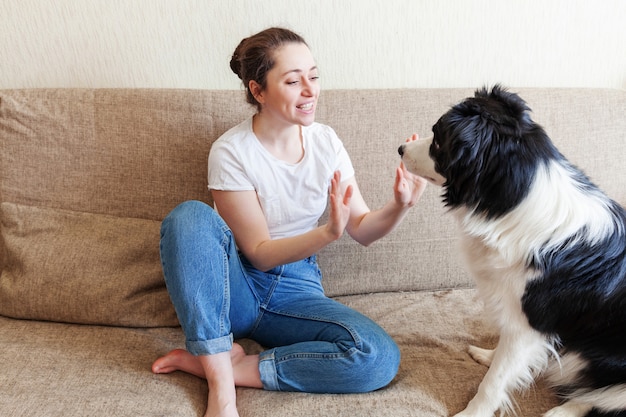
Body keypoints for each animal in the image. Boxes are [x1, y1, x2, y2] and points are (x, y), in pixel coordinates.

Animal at [400, 85, 624, 416]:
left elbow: (494, 382)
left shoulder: (528, 325)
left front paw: (472, 412)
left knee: (599, 397)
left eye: (438, 138)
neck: (514, 197)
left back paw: (561, 411)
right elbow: (506, 361)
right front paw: (491, 356)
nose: (400, 148)